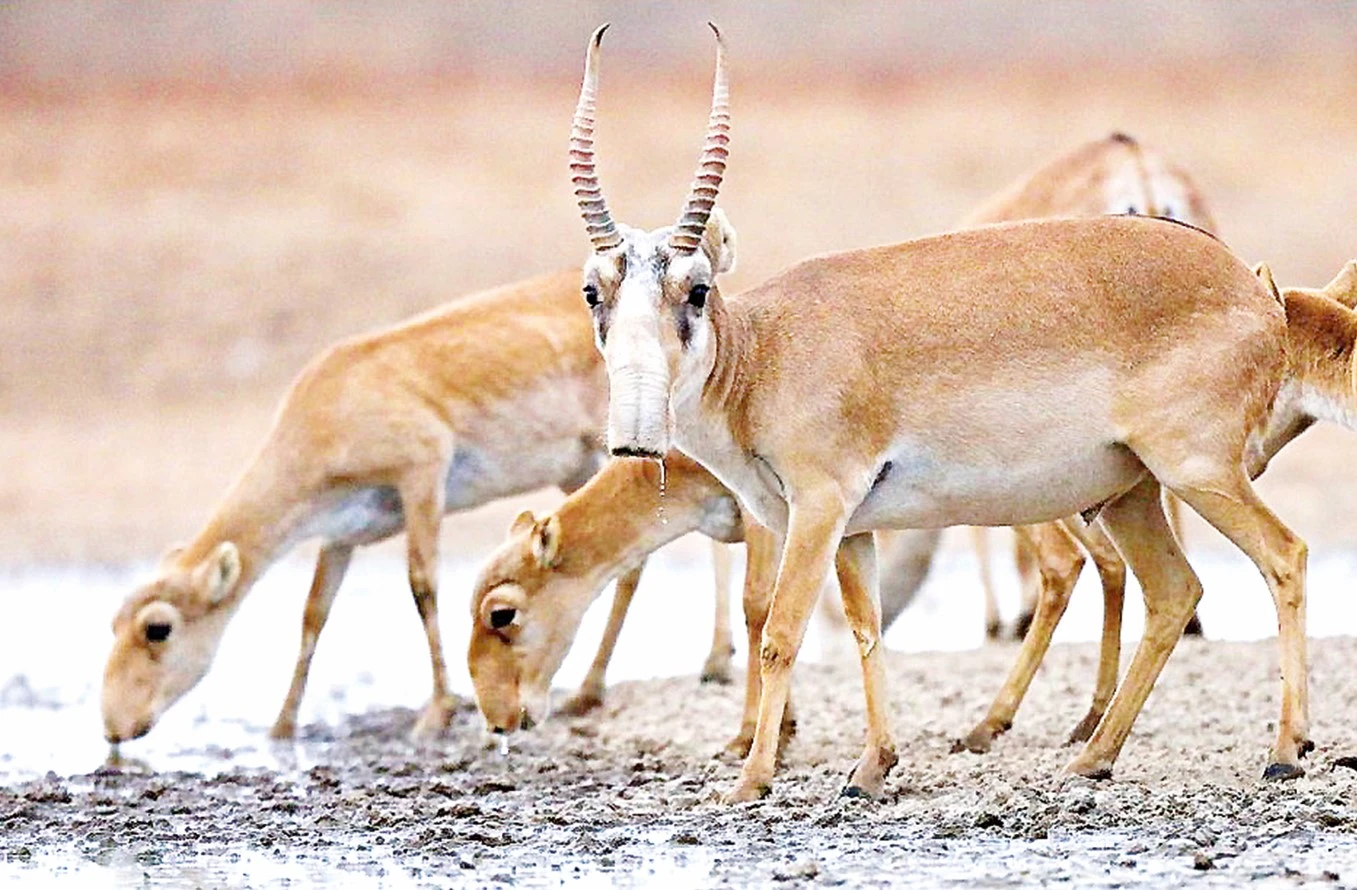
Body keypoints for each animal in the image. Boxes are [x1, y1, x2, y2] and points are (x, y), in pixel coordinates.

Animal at [100, 269, 738, 743]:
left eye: (157, 628)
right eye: (113, 622)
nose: (112, 728)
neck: (327, 408)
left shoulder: (422, 475)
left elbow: (423, 584)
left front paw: (437, 711)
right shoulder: (341, 535)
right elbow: (314, 613)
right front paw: (282, 726)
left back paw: (635, 678)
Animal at [559, 24, 1302, 797]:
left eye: (697, 289)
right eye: (593, 290)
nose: (636, 437)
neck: (763, 352)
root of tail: (1256, 292)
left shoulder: (818, 510)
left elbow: (781, 634)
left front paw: (752, 779)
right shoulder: (853, 530)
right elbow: (867, 629)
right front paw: (870, 768)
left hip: (1198, 473)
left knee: (1284, 555)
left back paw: (1282, 752)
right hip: (1129, 493)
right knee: (1175, 592)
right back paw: (1091, 756)